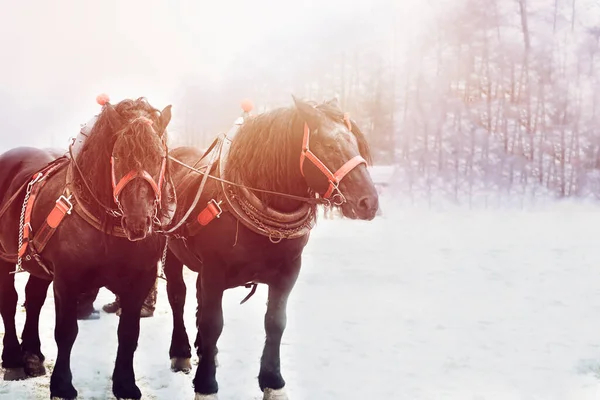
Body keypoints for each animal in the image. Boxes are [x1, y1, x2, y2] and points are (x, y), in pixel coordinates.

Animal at [0, 97, 173, 400]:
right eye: (118, 155)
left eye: (159, 156)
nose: (138, 222)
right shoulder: (67, 279)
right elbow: (66, 332)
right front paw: (61, 385)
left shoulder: (140, 280)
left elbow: (129, 333)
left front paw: (125, 384)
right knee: (8, 301)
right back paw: (12, 359)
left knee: (33, 298)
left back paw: (32, 355)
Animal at [163, 97, 380, 400]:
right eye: (329, 145)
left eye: (357, 144)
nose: (369, 202)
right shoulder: (214, 271)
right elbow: (213, 323)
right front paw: (206, 385)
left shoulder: (288, 271)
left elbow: (275, 322)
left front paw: (273, 382)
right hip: (170, 252)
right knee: (177, 296)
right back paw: (181, 352)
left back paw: (207, 351)